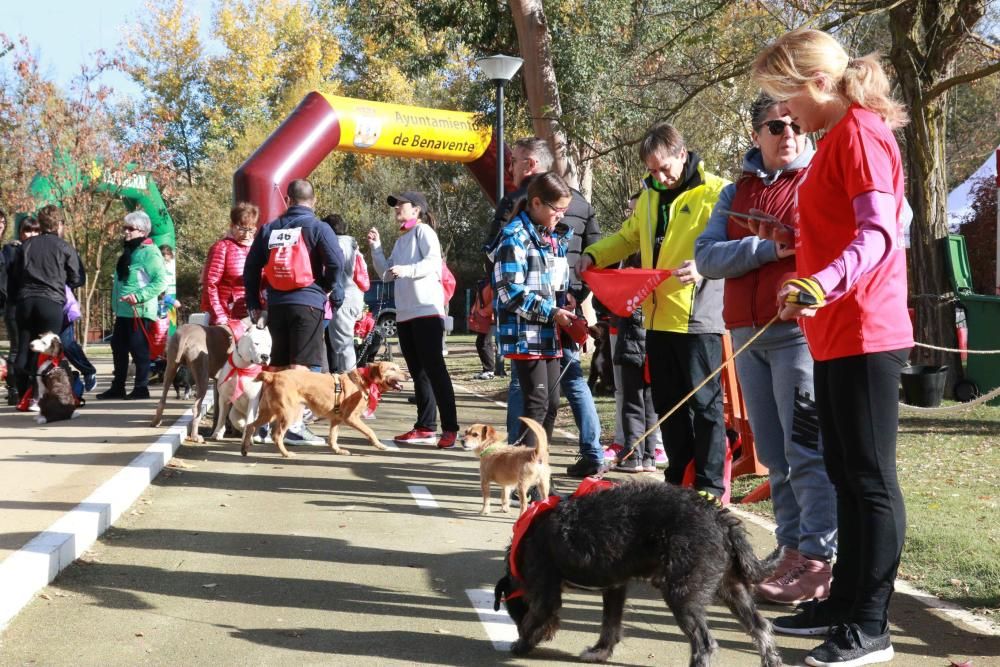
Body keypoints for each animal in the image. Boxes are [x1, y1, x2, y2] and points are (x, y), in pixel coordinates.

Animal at [242, 362, 406, 456]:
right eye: (393, 368)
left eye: (398, 368)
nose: (407, 375)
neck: (365, 380)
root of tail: (273, 375)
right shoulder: (351, 418)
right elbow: (370, 431)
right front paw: (380, 445)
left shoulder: (336, 419)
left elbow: (333, 438)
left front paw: (338, 450)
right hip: (289, 413)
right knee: (276, 435)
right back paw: (286, 454)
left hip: (269, 413)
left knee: (250, 426)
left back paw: (245, 448)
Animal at [496, 482, 784, 664]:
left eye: (515, 612)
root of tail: (720, 517)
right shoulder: (615, 587)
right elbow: (610, 624)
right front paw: (600, 652)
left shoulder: (544, 593)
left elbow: (533, 619)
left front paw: (521, 644)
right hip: (732, 588)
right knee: (761, 628)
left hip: (682, 594)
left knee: (705, 644)